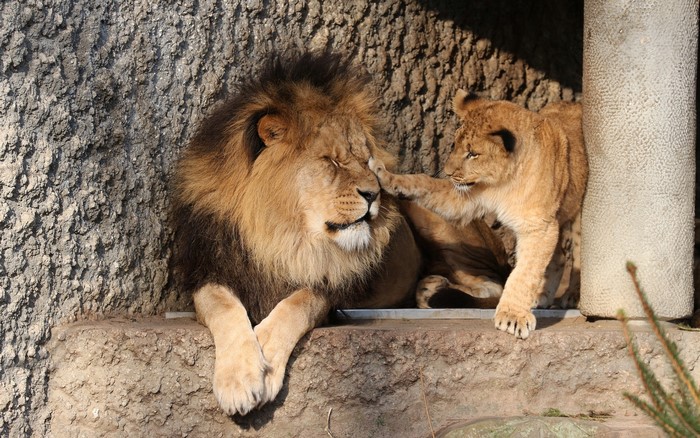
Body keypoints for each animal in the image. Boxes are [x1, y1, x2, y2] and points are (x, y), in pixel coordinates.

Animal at [370, 91, 588, 339]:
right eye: (454, 145)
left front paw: (512, 317)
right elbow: (423, 183)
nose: (448, 173)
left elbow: (523, 273)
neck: (504, 182)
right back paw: (542, 296)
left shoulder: (539, 227)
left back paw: (572, 296)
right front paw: (384, 174)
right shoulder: (466, 197)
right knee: (558, 256)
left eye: (473, 153)